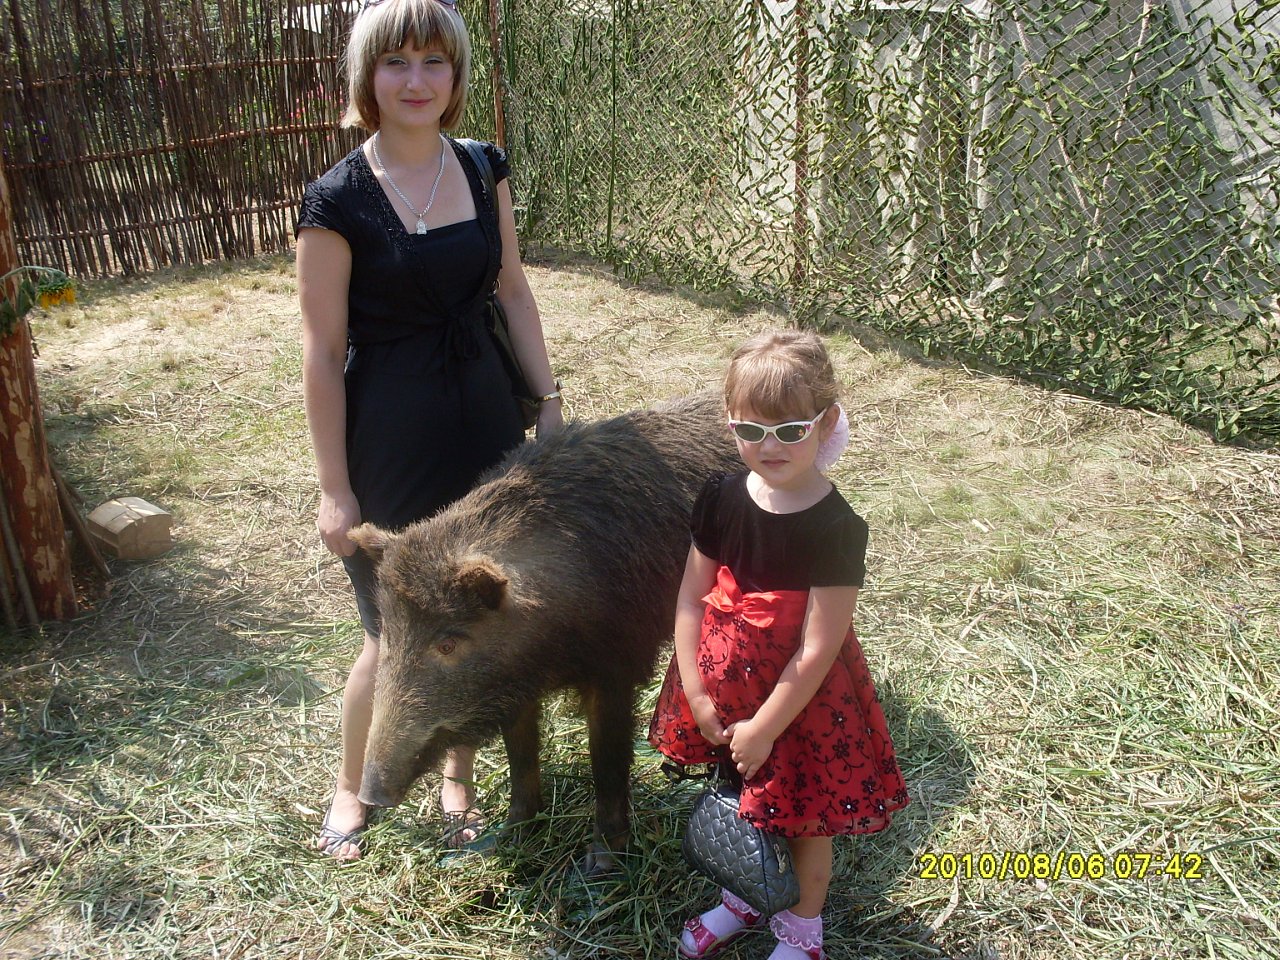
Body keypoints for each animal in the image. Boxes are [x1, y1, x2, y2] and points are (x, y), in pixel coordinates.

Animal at [348, 393, 740, 873]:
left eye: (448, 642)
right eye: (388, 630)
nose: (371, 795)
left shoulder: (617, 667)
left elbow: (607, 760)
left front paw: (601, 863)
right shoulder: (515, 687)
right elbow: (520, 755)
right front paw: (510, 836)